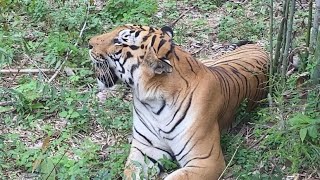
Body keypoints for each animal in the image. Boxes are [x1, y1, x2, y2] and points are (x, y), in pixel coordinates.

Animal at [89, 24, 268, 179]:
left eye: (119, 41)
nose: (88, 43)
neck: (153, 101)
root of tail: (259, 48)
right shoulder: (145, 147)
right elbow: (131, 172)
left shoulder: (207, 160)